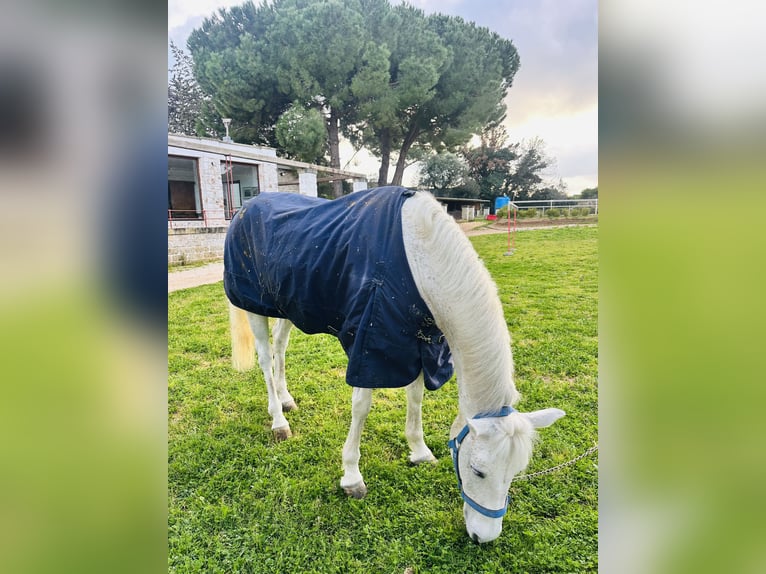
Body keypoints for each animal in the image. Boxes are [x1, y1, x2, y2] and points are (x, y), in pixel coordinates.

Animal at [223, 186, 564, 543]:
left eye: (515, 472)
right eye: (478, 471)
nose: (483, 537)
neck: (418, 259)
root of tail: (246, 208)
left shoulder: (418, 344)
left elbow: (415, 398)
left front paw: (419, 451)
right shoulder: (369, 345)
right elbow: (361, 407)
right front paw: (352, 477)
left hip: (287, 305)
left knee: (280, 346)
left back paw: (287, 399)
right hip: (254, 306)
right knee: (265, 357)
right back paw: (278, 419)